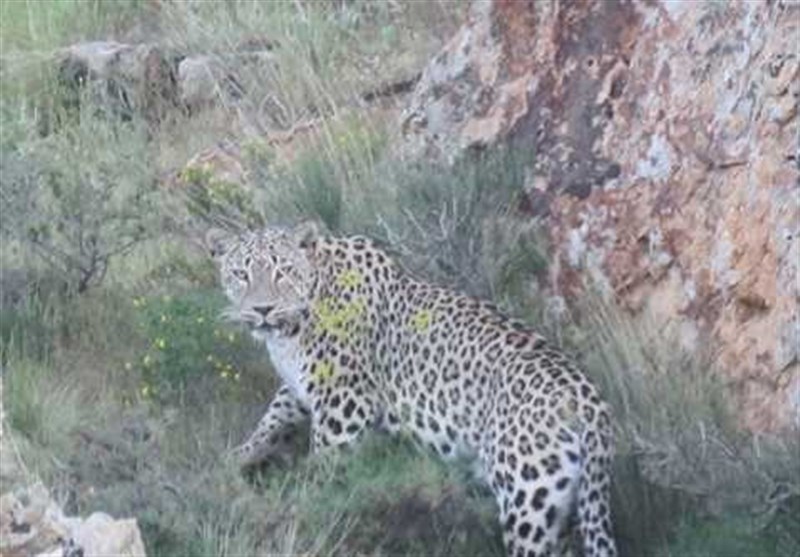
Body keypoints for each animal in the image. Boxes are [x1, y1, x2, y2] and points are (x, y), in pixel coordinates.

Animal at [208, 222, 620, 556]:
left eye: (283, 271)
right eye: (241, 273)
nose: (262, 309)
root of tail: (591, 403)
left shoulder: (343, 403)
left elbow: (323, 467)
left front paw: (307, 508)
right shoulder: (301, 388)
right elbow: (272, 418)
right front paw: (237, 457)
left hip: (527, 501)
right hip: (562, 504)